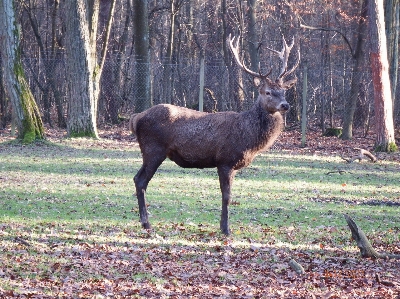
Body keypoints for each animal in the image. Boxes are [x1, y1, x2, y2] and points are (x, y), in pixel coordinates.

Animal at [131, 34, 300, 237]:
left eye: (283, 91)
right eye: (268, 92)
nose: (285, 105)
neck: (248, 138)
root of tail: (136, 118)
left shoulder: (232, 165)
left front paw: (223, 226)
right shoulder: (225, 160)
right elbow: (226, 196)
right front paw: (226, 229)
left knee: (137, 179)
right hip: (153, 149)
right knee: (140, 180)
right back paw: (146, 223)